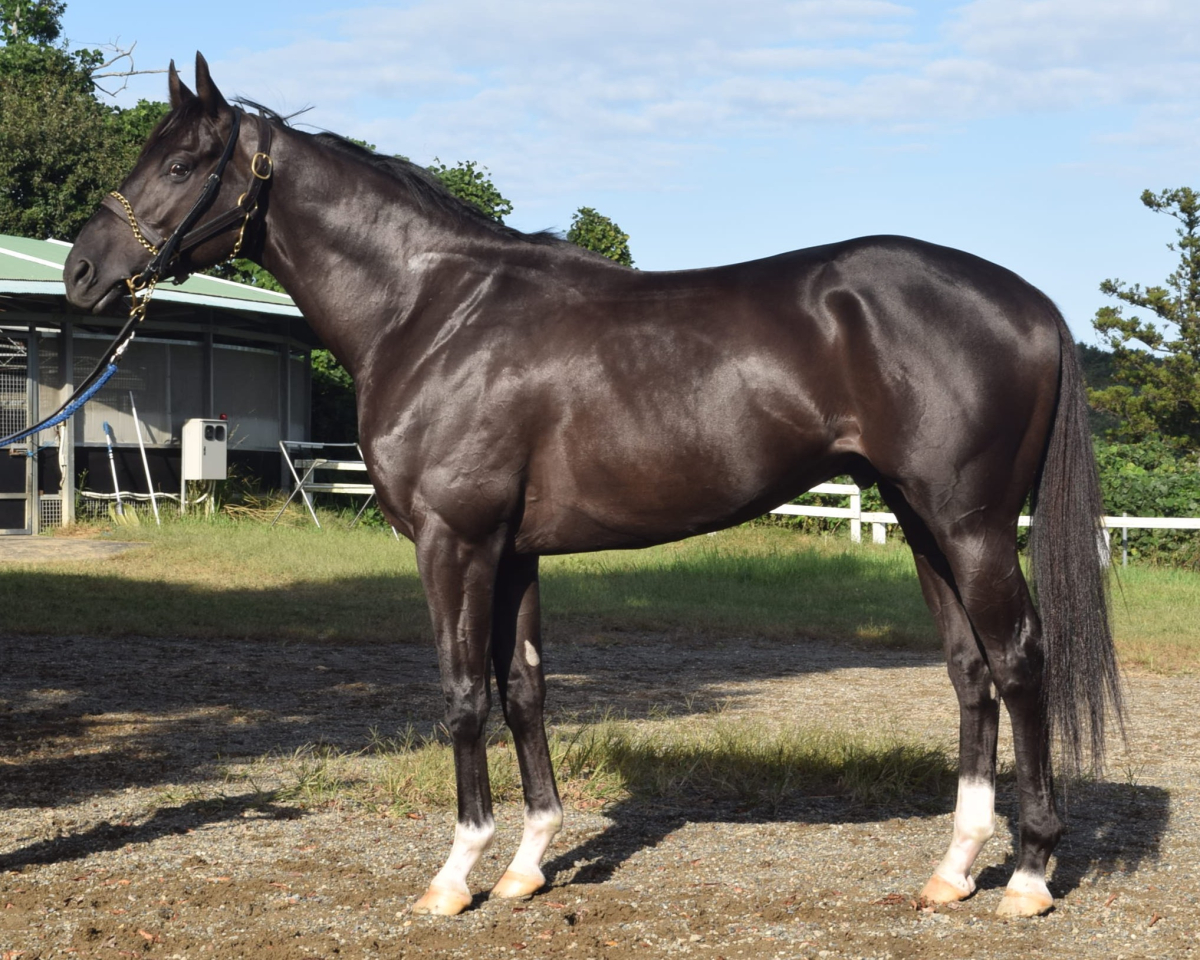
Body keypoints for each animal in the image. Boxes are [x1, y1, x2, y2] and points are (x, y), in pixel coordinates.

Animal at [64, 53, 1122, 919]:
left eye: (179, 164)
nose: (81, 272)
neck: (434, 311)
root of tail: (1032, 301)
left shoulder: (455, 542)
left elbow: (463, 694)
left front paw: (455, 876)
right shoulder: (513, 551)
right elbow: (526, 689)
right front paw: (529, 865)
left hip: (972, 524)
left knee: (1019, 661)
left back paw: (1029, 877)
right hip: (921, 522)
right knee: (970, 671)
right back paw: (954, 869)